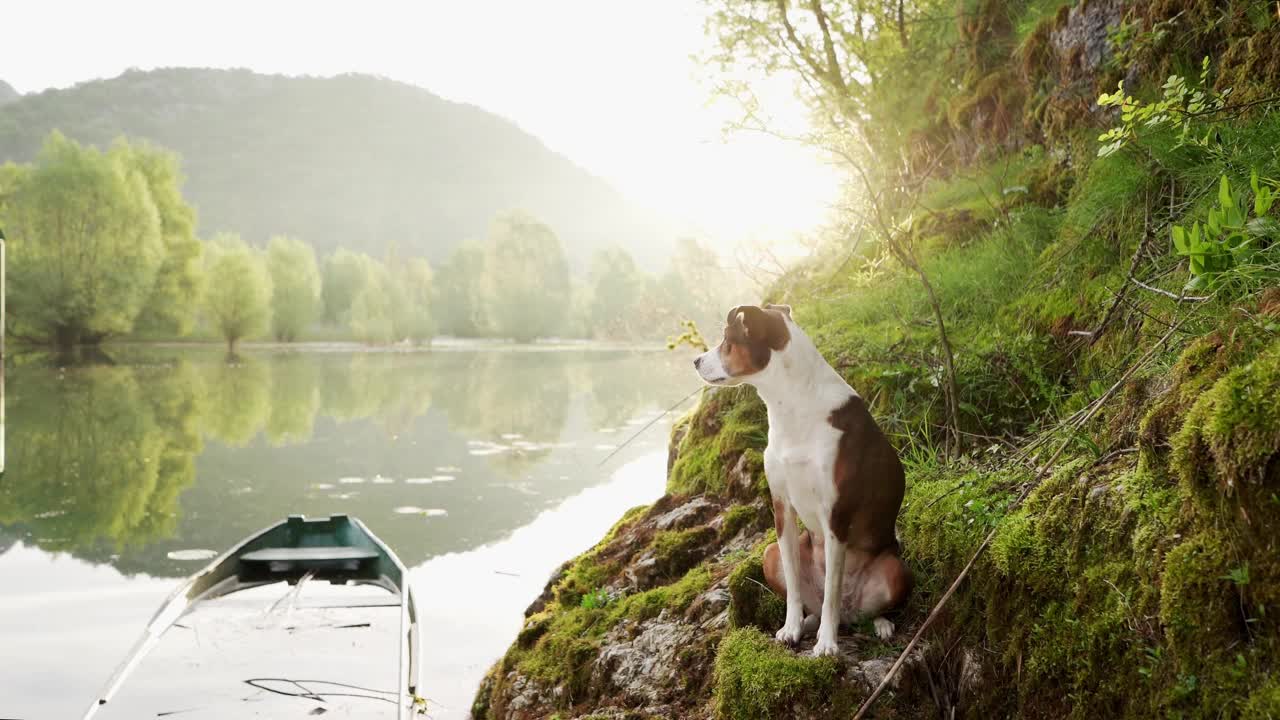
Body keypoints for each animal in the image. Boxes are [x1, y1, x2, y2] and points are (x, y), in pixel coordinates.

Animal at [701, 302, 911, 655]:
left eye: (727, 341)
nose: (695, 361)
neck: (793, 405)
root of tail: (851, 613)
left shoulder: (835, 515)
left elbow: (831, 596)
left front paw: (826, 644)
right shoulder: (782, 507)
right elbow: (795, 583)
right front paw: (792, 628)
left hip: (894, 570)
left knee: (866, 605)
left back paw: (879, 624)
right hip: (768, 554)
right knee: (810, 596)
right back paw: (810, 621)